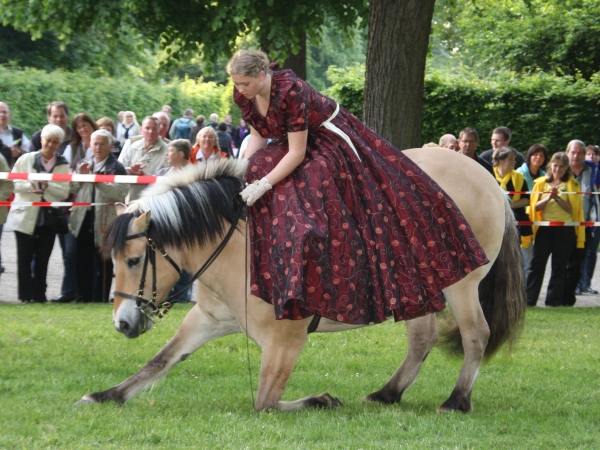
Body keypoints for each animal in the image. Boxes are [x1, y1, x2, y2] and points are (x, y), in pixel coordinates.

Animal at [78, 150, 524, 412]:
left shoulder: (285, 340)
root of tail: (492, 184)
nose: (122, 322)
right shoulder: (207, 319)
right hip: (420, 291)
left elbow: (265, 402)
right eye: (112, 260)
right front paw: (105, 394)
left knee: (476, 335)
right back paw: (388, 393)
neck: (238, 242)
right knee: (422, 339)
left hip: (459, 287)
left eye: (135, 260)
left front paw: (320, 399)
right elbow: (161, 360)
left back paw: (457, 400)